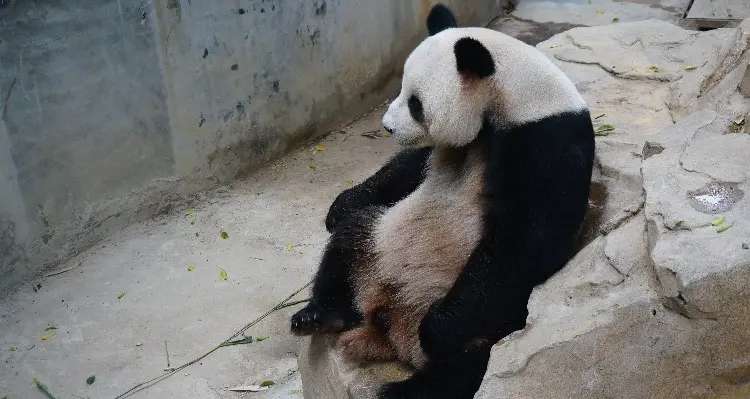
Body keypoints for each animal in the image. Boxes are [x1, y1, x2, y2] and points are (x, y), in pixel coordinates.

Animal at [290, 3, 596, 399]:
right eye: (401, 88)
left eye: (416, 103)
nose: (387, 126)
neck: (511, 95)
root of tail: (391, 329)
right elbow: (410, 167)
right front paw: (340, 204)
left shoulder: (548, 143)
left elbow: (524, 242)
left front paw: (437, 328)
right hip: (379, 243)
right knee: (350, 237)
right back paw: (319, 315)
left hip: (493, 325)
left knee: (464, 370)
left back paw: (401, 384)